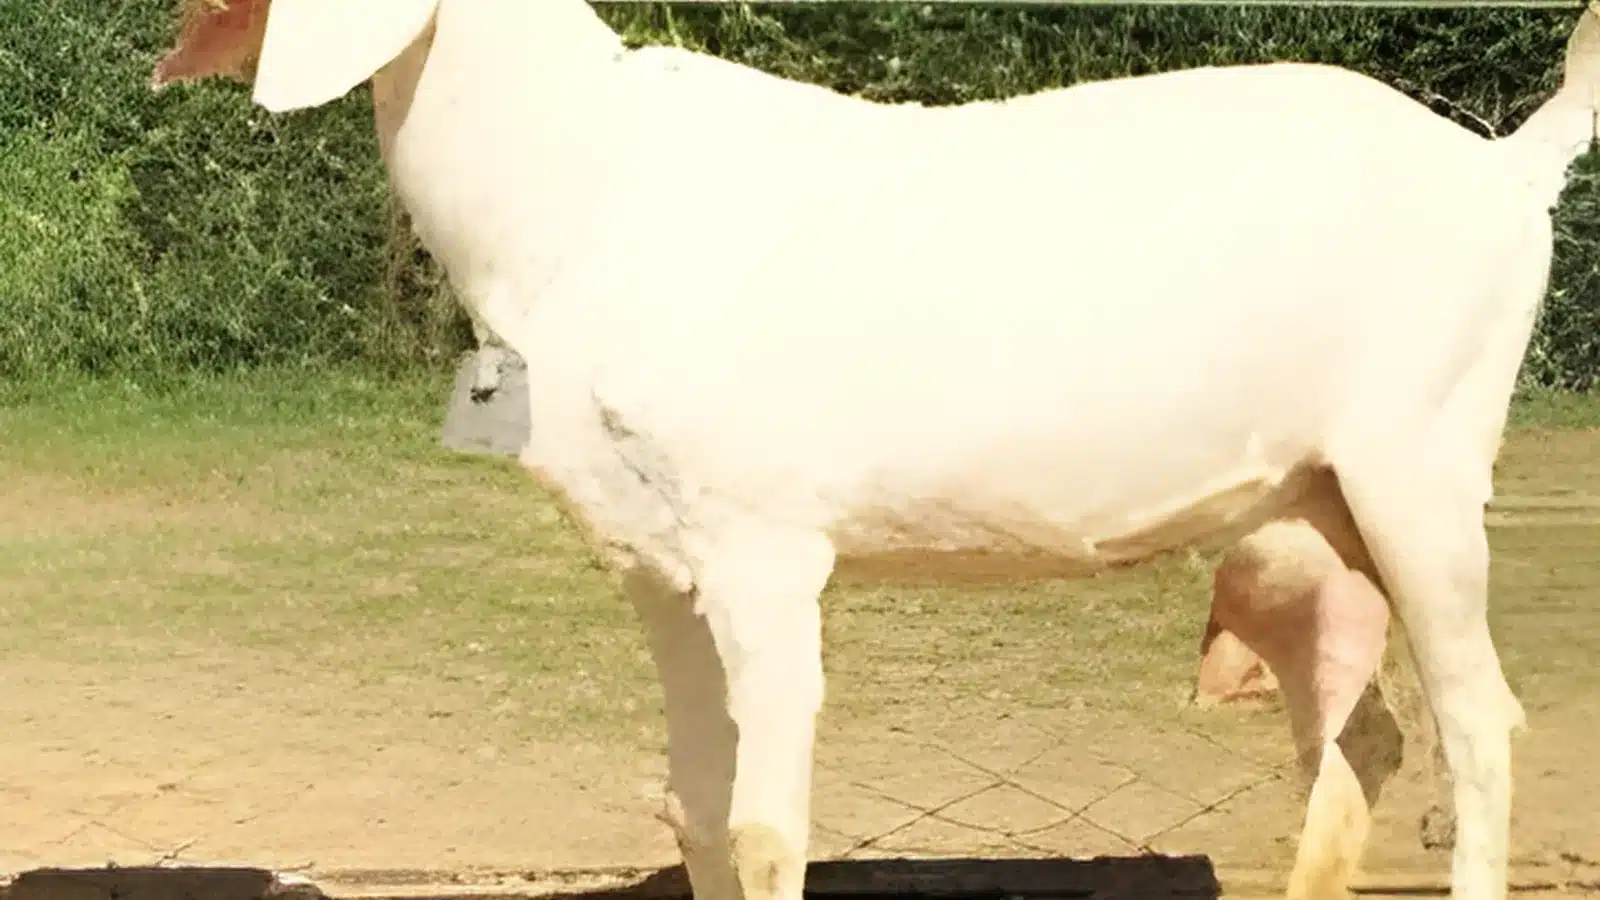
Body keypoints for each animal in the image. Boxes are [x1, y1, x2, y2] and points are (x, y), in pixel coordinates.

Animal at [152, 3, 1600, 900]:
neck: (580, 181)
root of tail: (1507, 169)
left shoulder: (763, 551)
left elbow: (763, 819)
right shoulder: (657, 561)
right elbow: (694, 804)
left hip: (1419, 464)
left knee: (1479, 724)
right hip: (1314, 515)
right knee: (1362, 740)